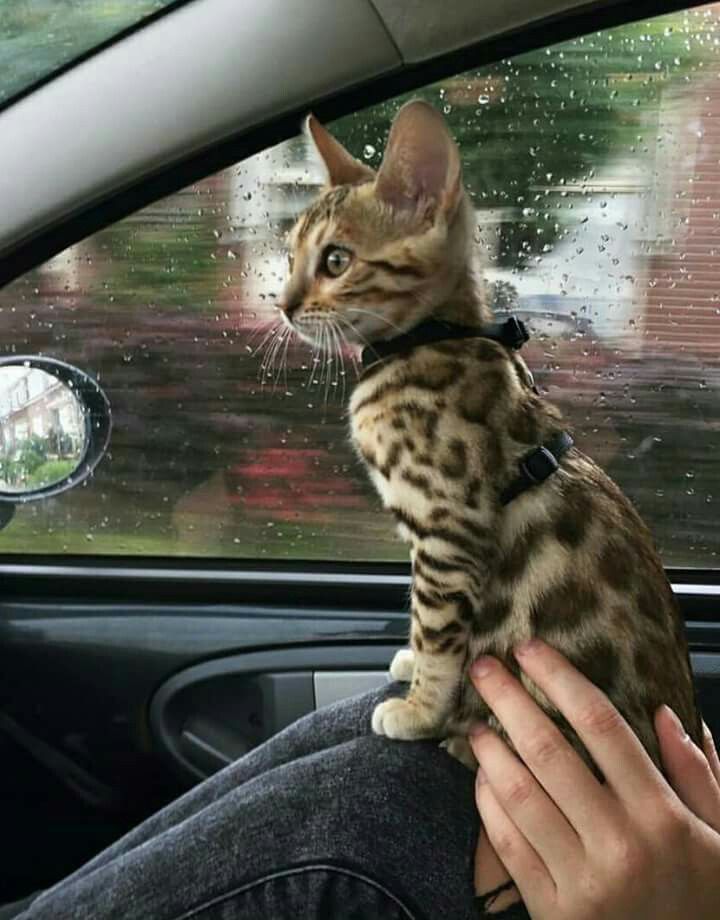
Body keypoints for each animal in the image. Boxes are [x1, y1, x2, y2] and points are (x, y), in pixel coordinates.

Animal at [278, 100, 704, 776]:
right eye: (290, 255)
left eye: (336, 260)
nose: (283, 306)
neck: (425, 341)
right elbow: (422, 621)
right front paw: (413, 669)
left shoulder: (449, 527)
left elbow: (438, 629)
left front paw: (421, 709)